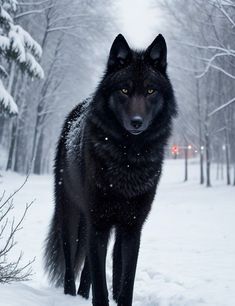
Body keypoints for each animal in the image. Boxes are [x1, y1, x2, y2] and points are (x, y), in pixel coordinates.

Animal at [44, 33, 176, 306]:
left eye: (150, 90)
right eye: (124, 90)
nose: (136, 122)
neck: (128, 160)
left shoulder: (132, 227)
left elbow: (125, 282)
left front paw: (119, 297)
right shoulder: (99, 223)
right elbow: (100, 287)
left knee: (96, 268)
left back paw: (83, 295)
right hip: (70, 214)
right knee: (72, 266)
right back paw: (71, 295)